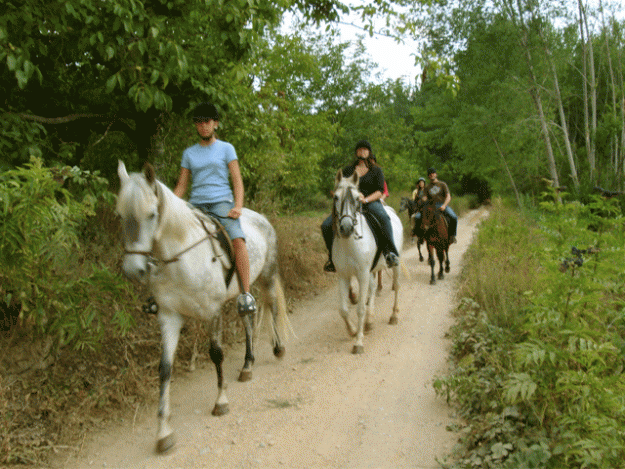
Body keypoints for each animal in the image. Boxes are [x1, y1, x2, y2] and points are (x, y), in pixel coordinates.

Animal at [116, 162, 288, 454]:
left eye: (151, 214)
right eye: (119, 215)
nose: (133, 270)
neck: (181, 255)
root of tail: (260, 217)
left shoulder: (212, 311)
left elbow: (216, 354)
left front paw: (221, 402)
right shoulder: (169, 316)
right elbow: (164, 368)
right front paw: (163, 432)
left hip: (267, 275)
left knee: (272, 307)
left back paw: (278, 348)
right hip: (243, 290)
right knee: (248, 318)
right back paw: (247, 365)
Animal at [332, 170, 400, 352]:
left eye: (357, 198)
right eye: (336, 197)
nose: (346, 228)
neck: (349, 244)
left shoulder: (362, 274)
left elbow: (360, 309)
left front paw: (358, 342)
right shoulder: (343, 276)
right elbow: (343, 309)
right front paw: (352, 330)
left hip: (394, 264)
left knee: (397, 287)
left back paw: (394, 316)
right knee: (373, 288)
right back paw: (369, 322)